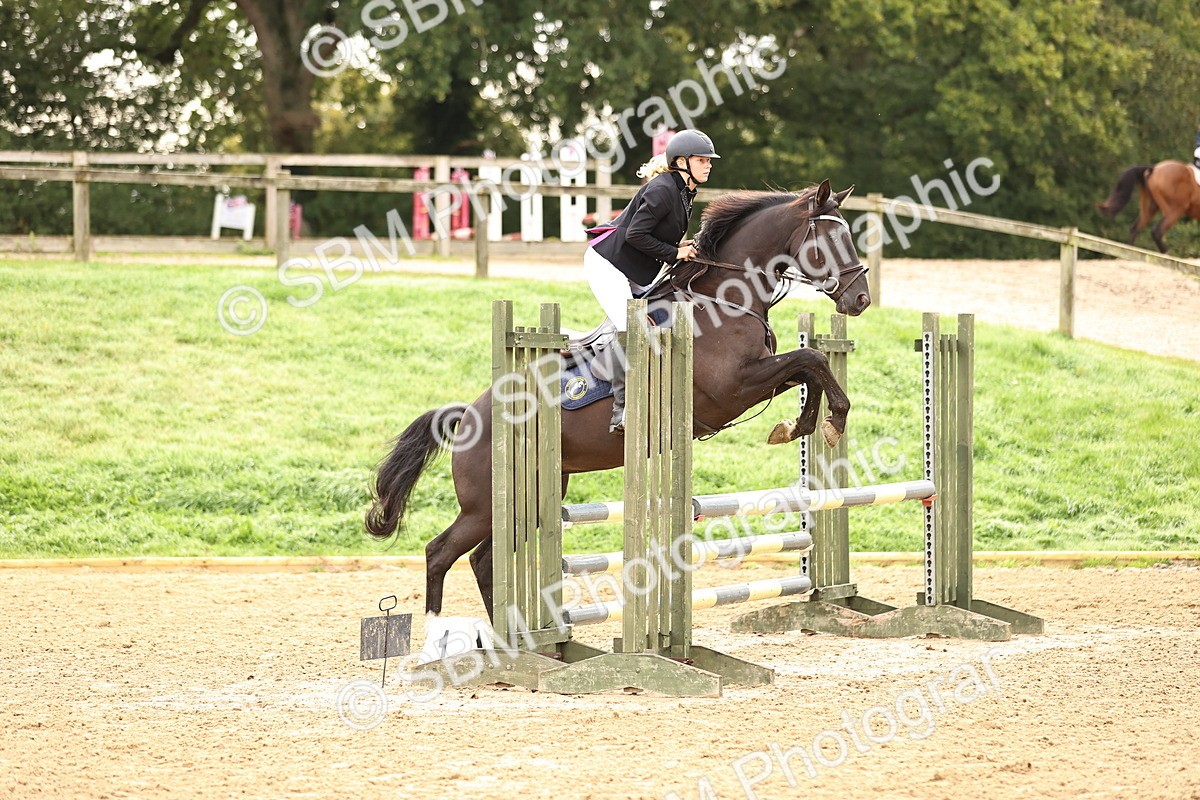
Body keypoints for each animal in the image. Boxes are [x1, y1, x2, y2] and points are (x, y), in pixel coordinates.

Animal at [364, 179, 872, 619]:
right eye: (830, 239)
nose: (862, 300)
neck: (724, 300)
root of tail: (468, 414)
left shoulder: (759, 378)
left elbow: (810, 366)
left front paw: (805, 425)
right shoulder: (735, 387)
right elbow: (811, 358)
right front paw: (825, 423)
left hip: (531, 495)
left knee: (484, 560)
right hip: (485, 503)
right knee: (440, 553)